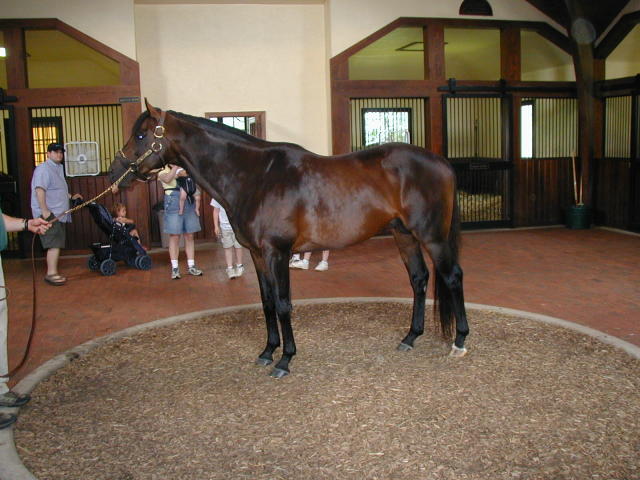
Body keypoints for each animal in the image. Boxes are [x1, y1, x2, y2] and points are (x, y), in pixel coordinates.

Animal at [109, 101, 470, 378]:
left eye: (141, 134)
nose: (114, 173)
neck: (257, 177)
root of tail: (441, 162)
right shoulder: (256, 254)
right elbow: (267, 302)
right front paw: (268, 351)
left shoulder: (277, 253)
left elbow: (283, 303)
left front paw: (285, 359)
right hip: (404, 235)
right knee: (419, 279)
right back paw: (411, 337)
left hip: (433, 237)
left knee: (452, 277)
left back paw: (460, 341)